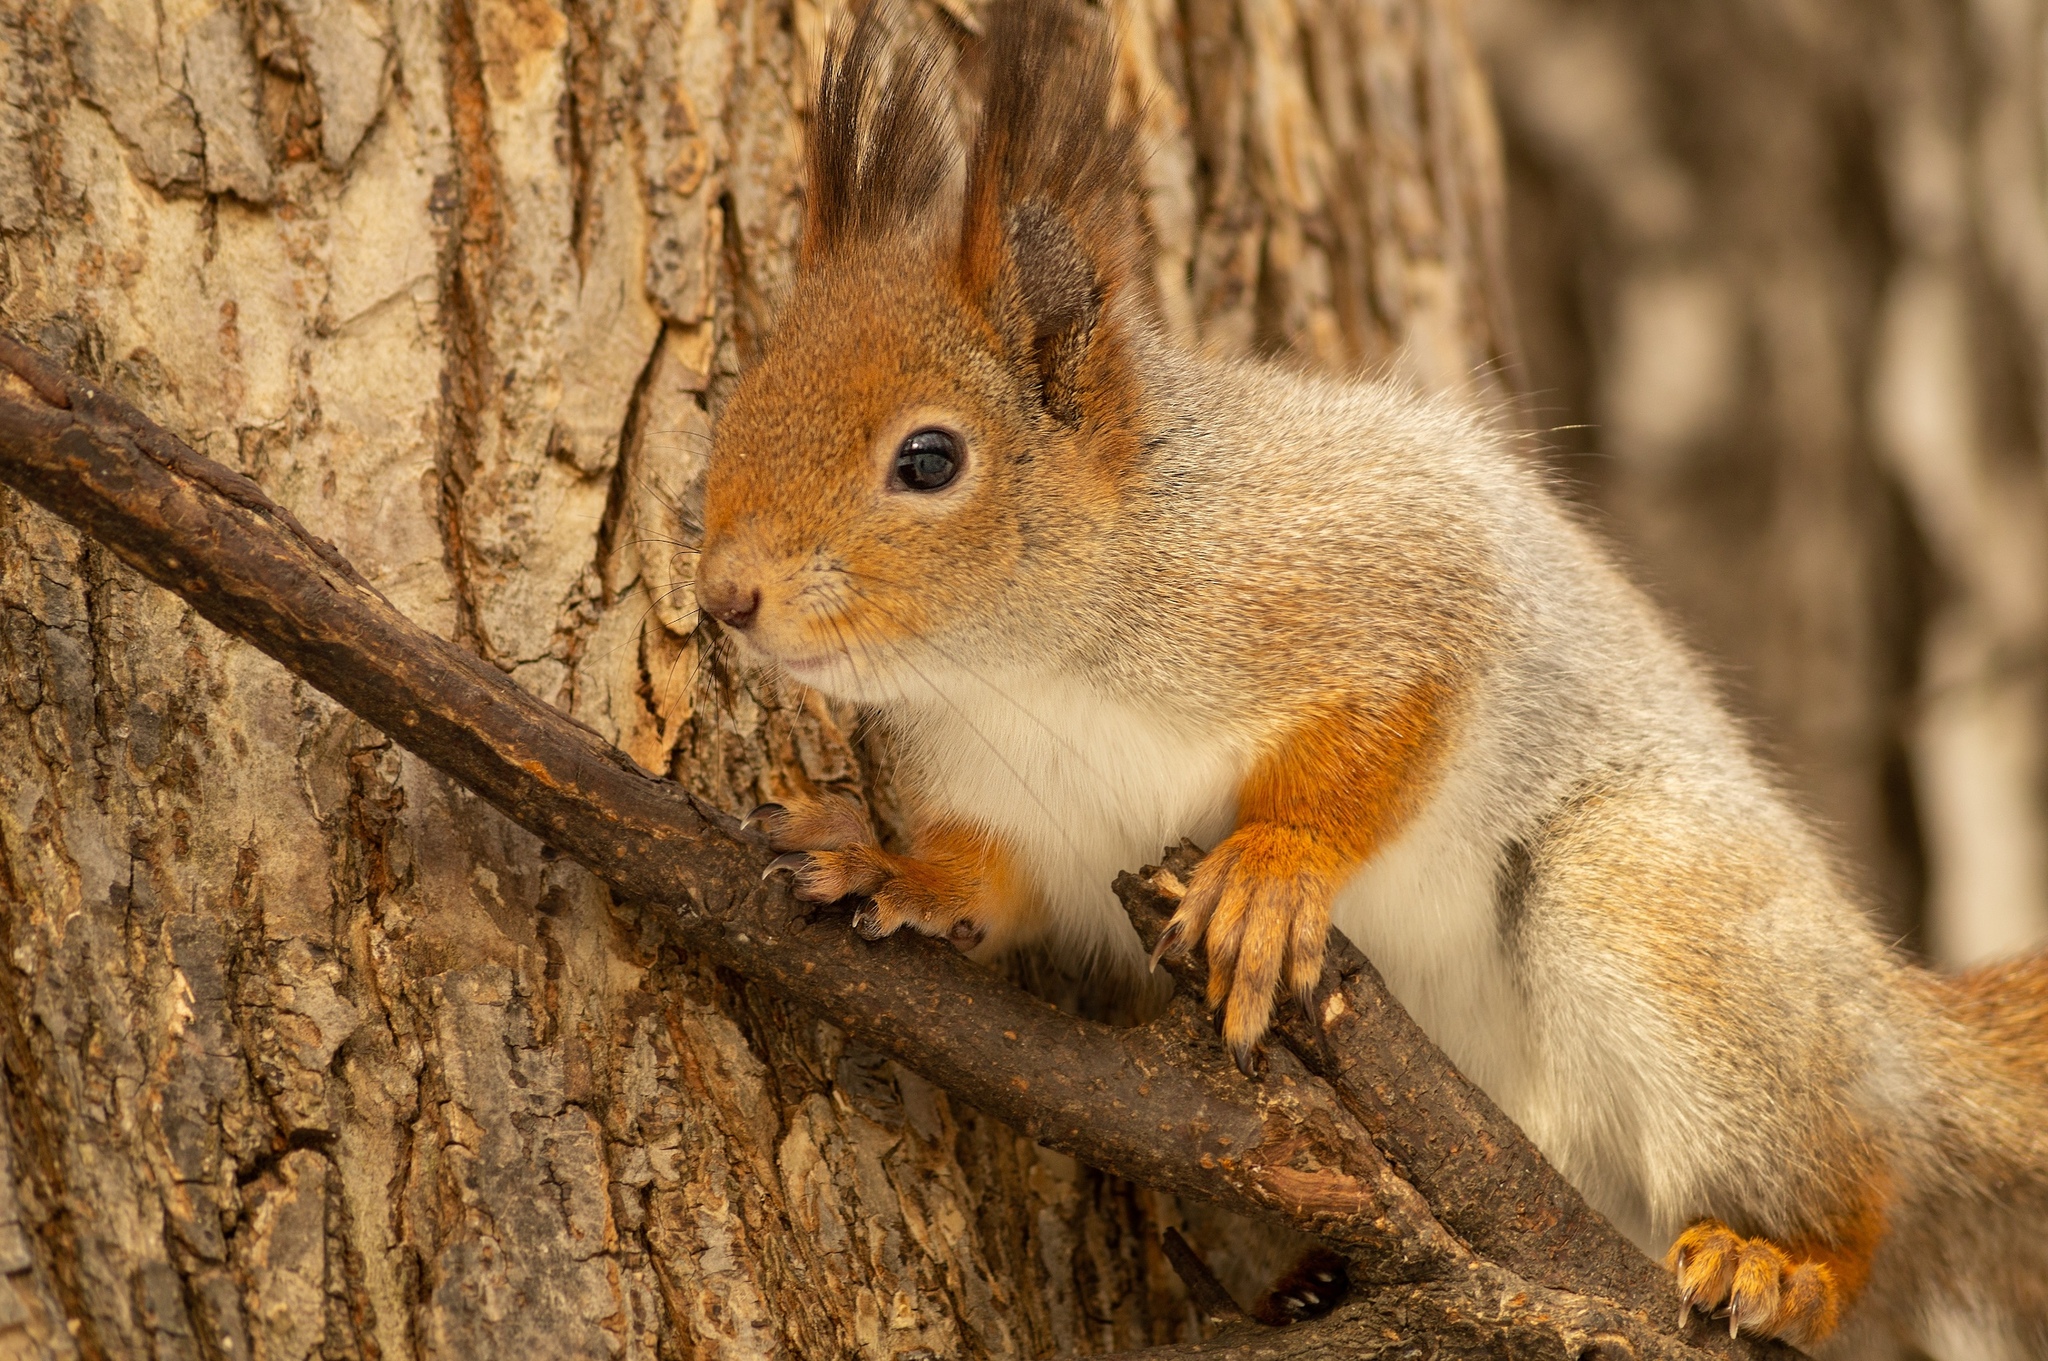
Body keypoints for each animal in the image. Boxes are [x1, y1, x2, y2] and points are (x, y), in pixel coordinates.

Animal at [688, 2, 2048, 1350]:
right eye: (737, 401)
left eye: (928, 459)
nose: (724, 596)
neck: (1027, 664)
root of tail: (1890, 1026)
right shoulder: (1031, 809)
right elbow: (990, 879)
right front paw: (891, 865)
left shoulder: (1380, 584)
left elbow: (1392, 722)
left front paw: (1273, 868)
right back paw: (1311, 1281)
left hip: (1656, 908)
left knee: (1856, 1184)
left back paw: (1784, 1261)